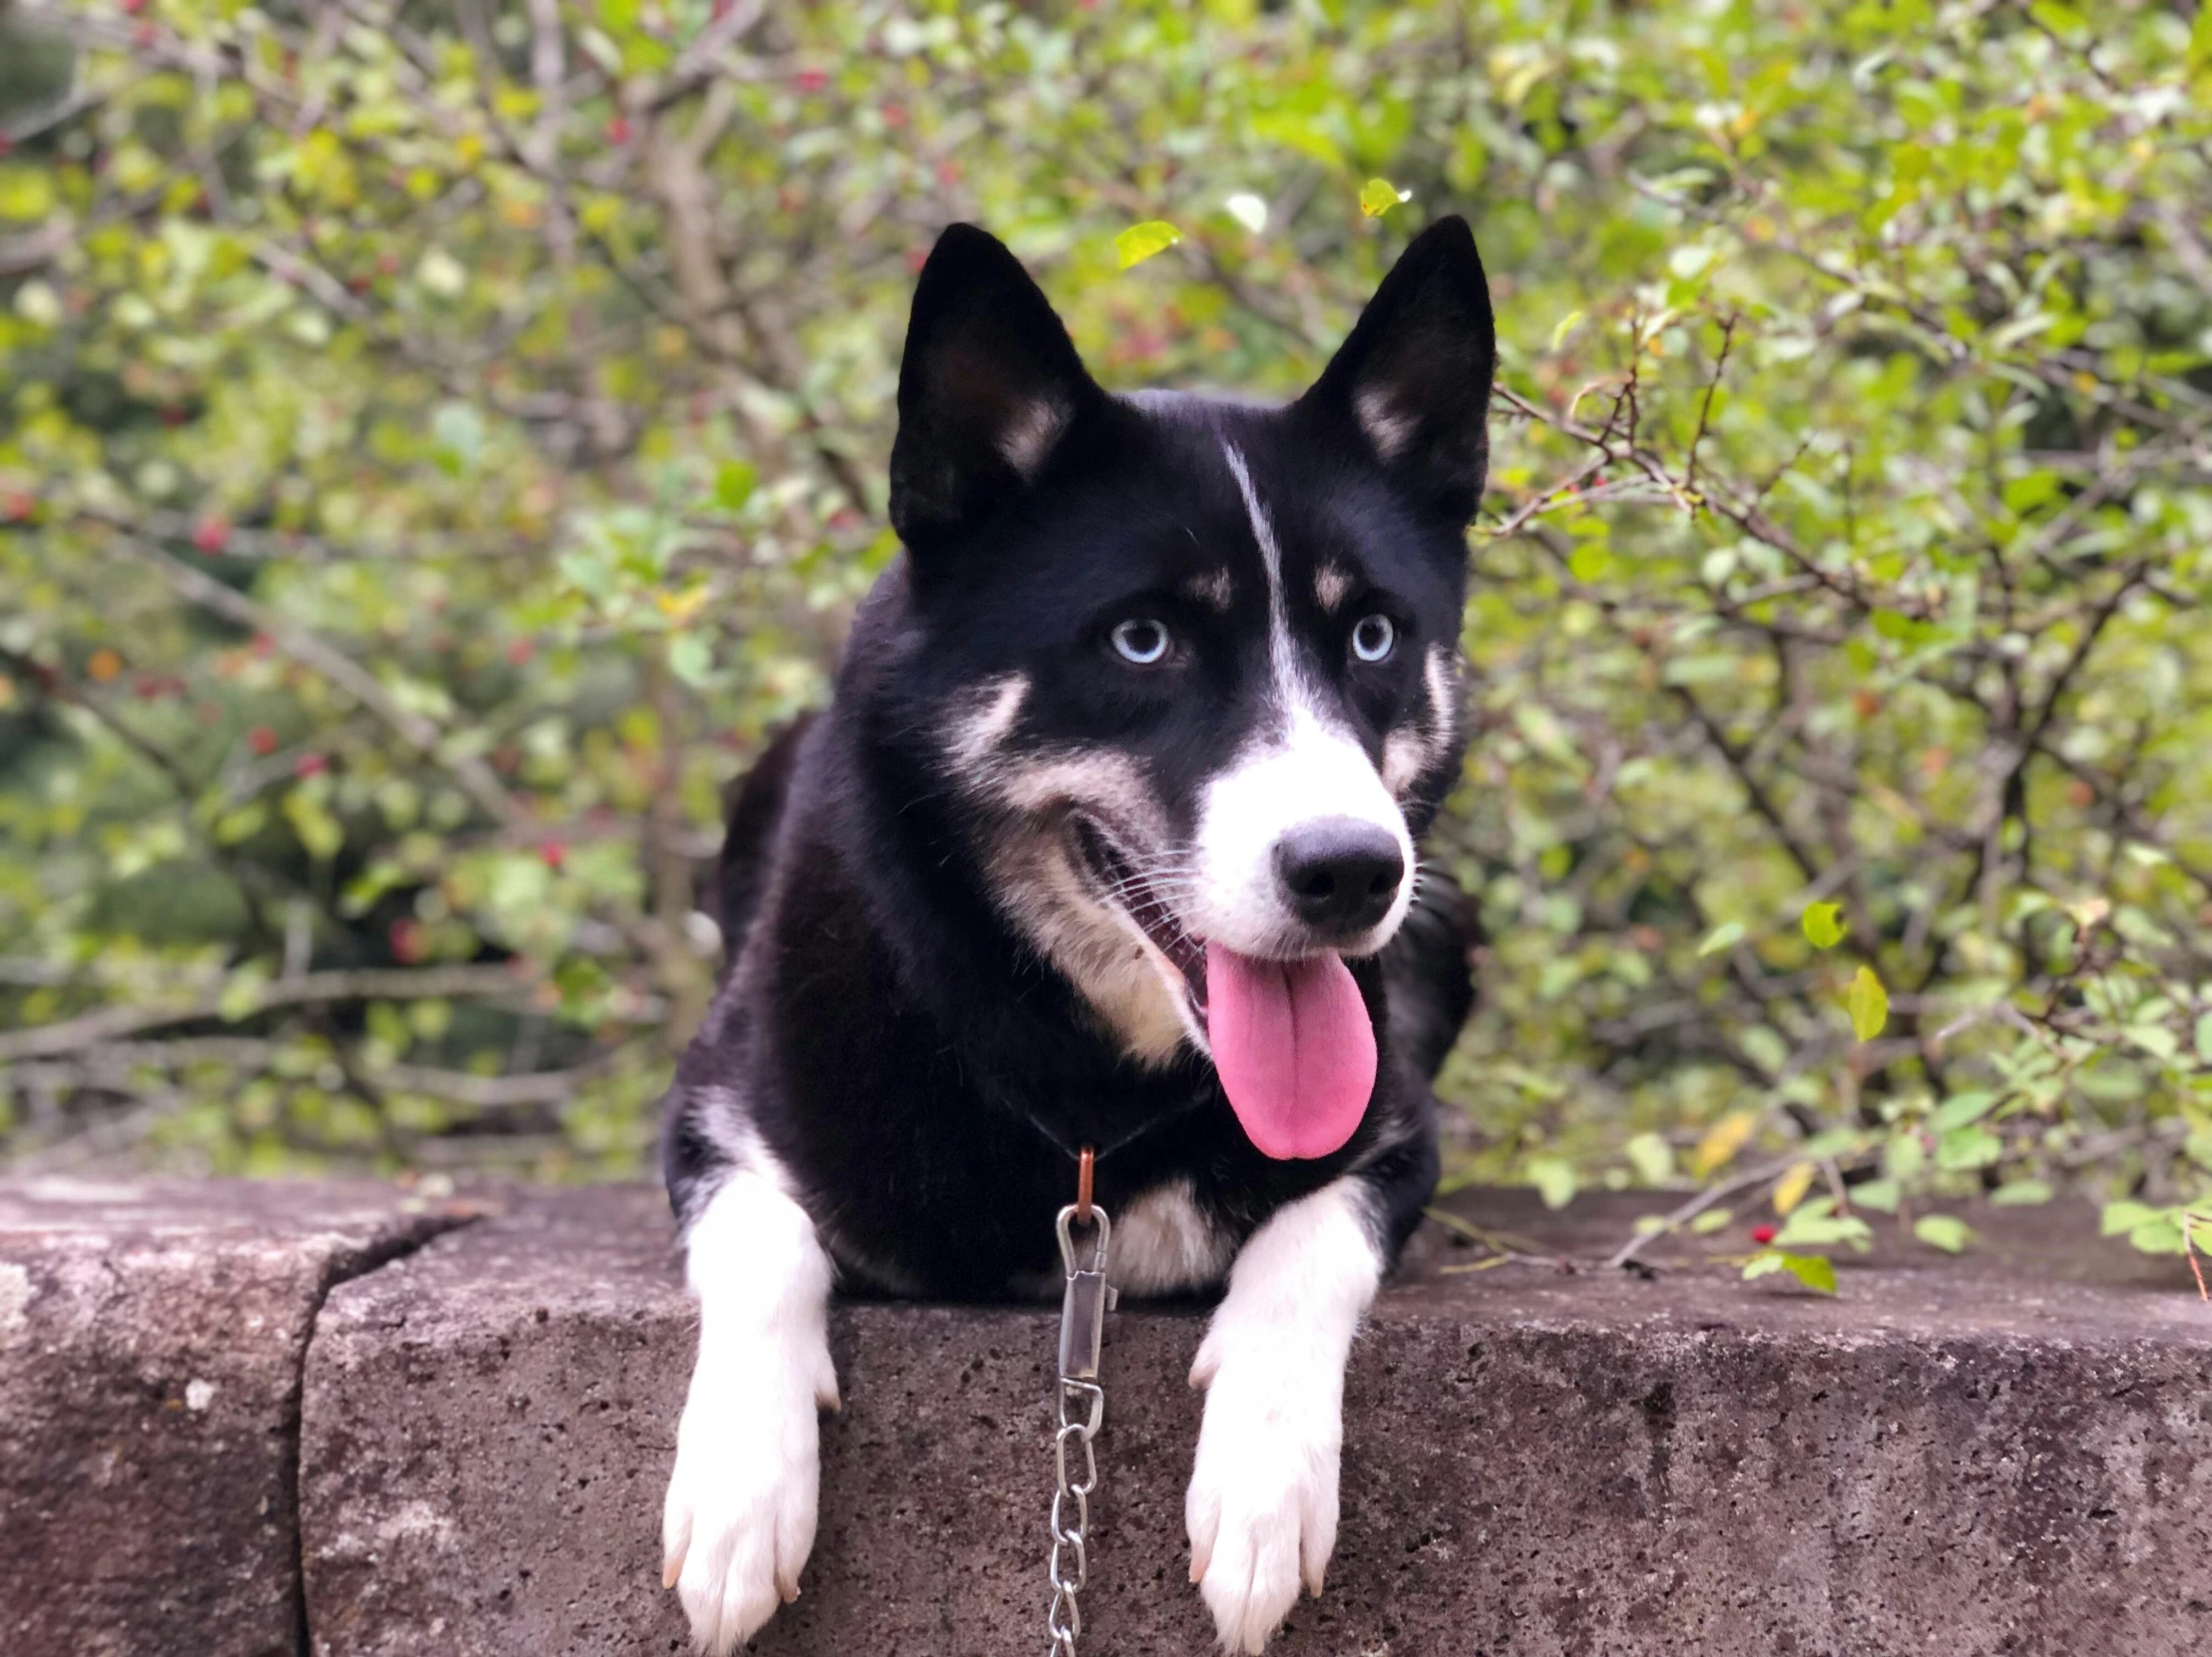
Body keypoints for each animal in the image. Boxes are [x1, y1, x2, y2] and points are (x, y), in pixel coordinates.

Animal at [650, 219, 1486, 1654]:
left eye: (1374, 634)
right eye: (1142, 639)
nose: (1351, 871)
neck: (1091, 1089)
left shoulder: (1392, 1127)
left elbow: (1311, 1235)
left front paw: (1263, 1477)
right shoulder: (714, 1104)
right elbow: (763, 1239)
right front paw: (741, 1488)